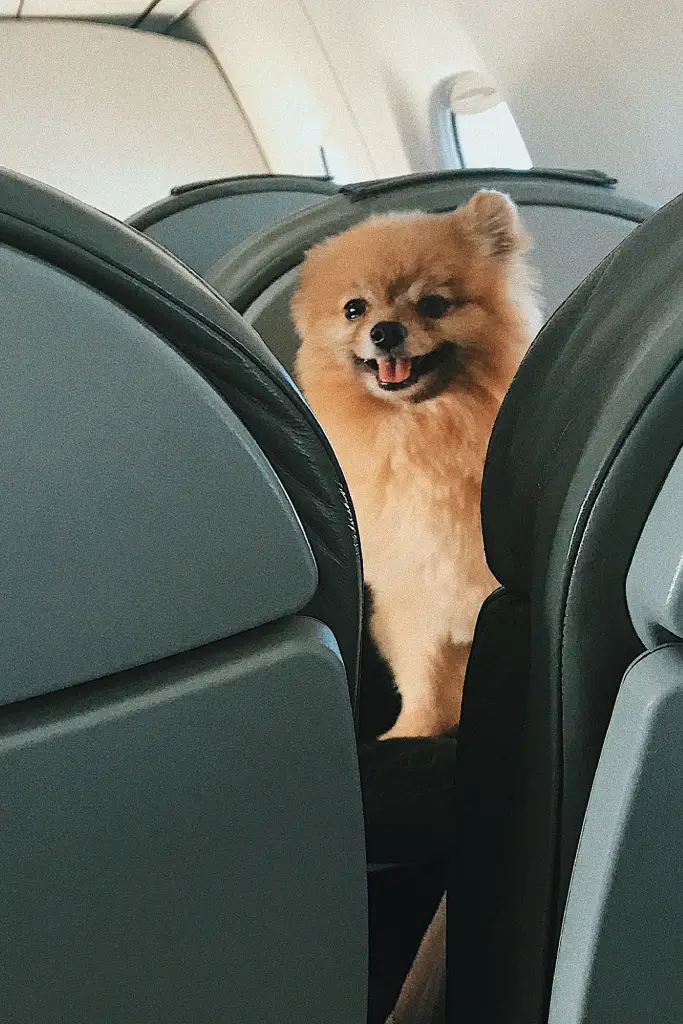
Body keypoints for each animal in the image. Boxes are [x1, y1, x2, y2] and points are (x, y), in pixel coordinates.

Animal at [290, 192, 540, 737]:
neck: (422, 432)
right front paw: (414, 729)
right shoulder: (413, 598)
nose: (385, 331)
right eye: (354, 309)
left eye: (433, 304)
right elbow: (421, 675)